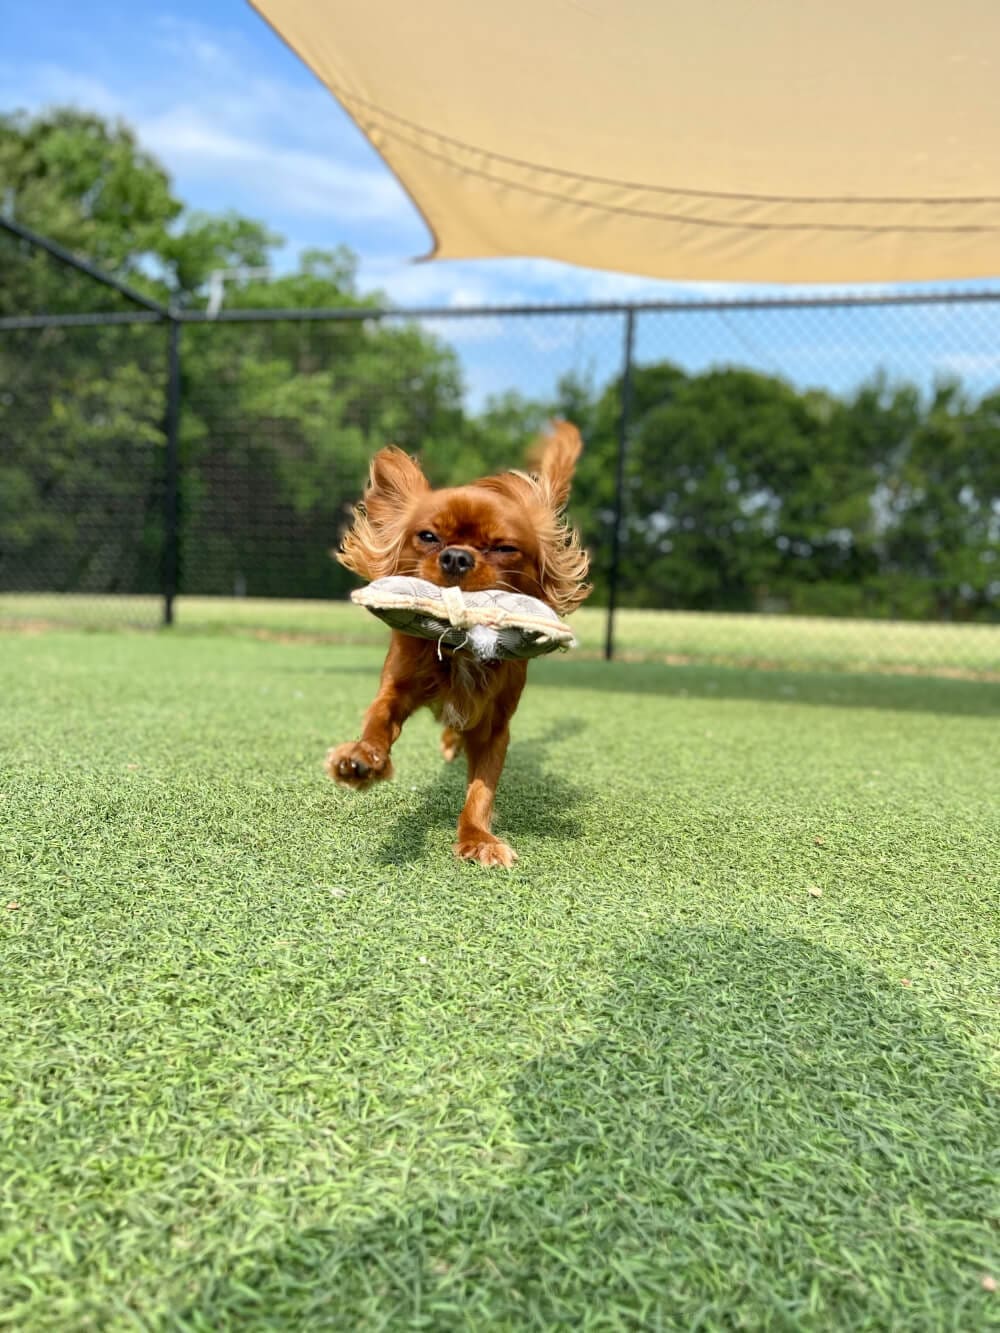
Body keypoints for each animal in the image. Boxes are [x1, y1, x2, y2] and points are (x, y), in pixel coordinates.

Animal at [325, 421, 592, 869]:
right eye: (428, 536)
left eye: (504, 548)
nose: (456, 557)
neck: (459, 647)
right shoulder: (396, 689)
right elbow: (379, 722)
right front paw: (362, 759)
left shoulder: (494, 726)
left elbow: (481, 789)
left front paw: (477, 838)